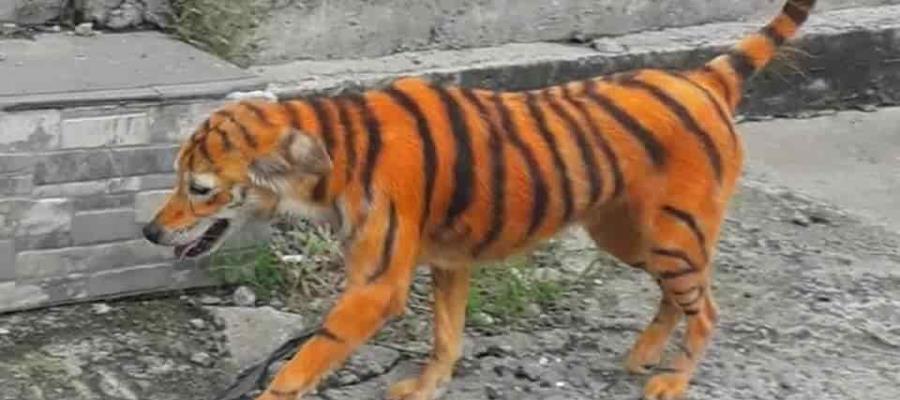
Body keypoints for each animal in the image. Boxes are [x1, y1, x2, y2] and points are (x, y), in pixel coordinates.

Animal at [142, 1, 817, 398]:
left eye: (199, 189)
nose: (150, 232)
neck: (332, 153)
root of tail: (702, 76)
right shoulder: (449, 260)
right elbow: (448, 334)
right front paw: (425, 386)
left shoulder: (378, 284)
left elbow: (309, 356)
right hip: (626, 232)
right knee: (679, 298)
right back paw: (644, 356)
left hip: (674, 235)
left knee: (708, 309)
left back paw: (672, 380)